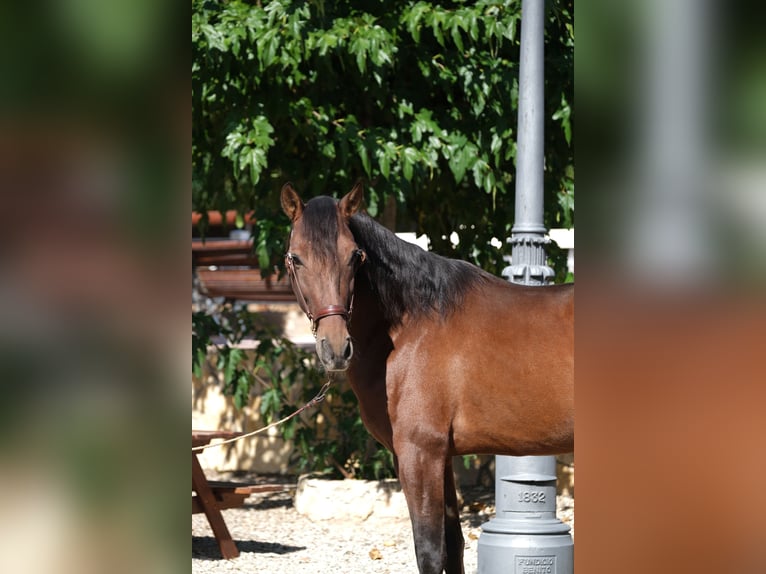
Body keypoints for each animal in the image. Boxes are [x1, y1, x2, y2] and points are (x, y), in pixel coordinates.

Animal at [280, 183, 572, 574]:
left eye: (354, 257)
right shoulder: (442, 456)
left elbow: (430, 551)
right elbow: (454, 544)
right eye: (296, 258)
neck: (413, 327)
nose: (336, 348)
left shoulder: (420, 454)